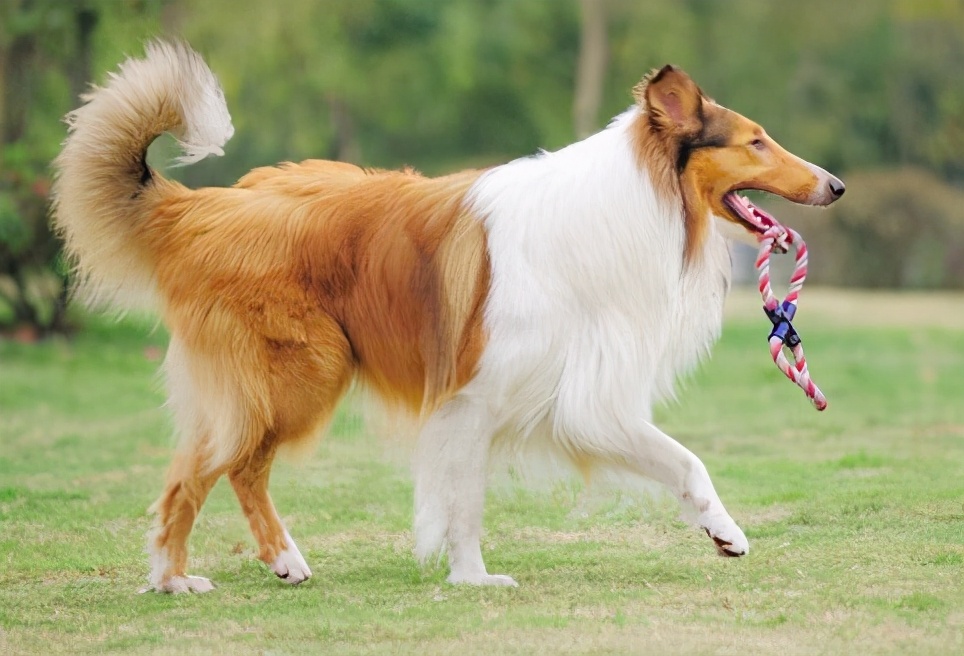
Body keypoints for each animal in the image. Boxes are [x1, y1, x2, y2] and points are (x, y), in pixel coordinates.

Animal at [52, 42, 844, 596]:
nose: (836, 185)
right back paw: (175, 578)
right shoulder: (475, 398)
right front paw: (472, 578)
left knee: (235, 467)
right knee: (198, 474)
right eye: (755, 141)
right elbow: (464, 502)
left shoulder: (576, 400)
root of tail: (203, 207)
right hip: (300, 375)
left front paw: (724, 532)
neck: (634, 203)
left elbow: (682, 461)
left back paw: (281, 562)